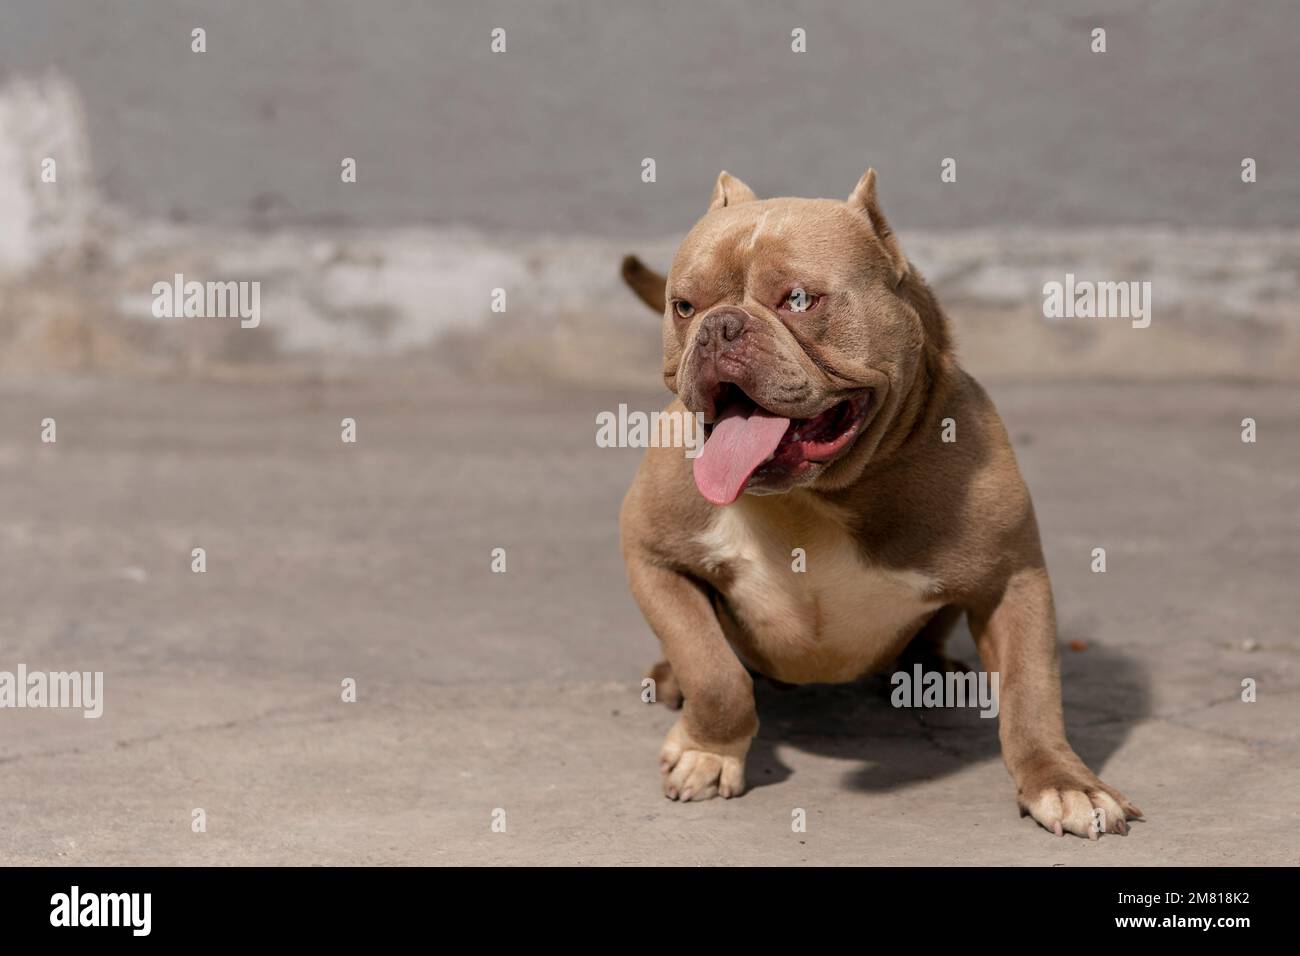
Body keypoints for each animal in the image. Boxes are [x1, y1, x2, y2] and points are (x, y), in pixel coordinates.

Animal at [616, 170, 1138, 837]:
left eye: (798, 300)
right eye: (684, 307)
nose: (719, 326)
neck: (814, 496)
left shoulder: (1013, 579)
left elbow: (1033, 694)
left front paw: (1063, 782)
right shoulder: (653, 556)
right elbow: (713, 670)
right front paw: (709, 753)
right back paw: (668, 678)